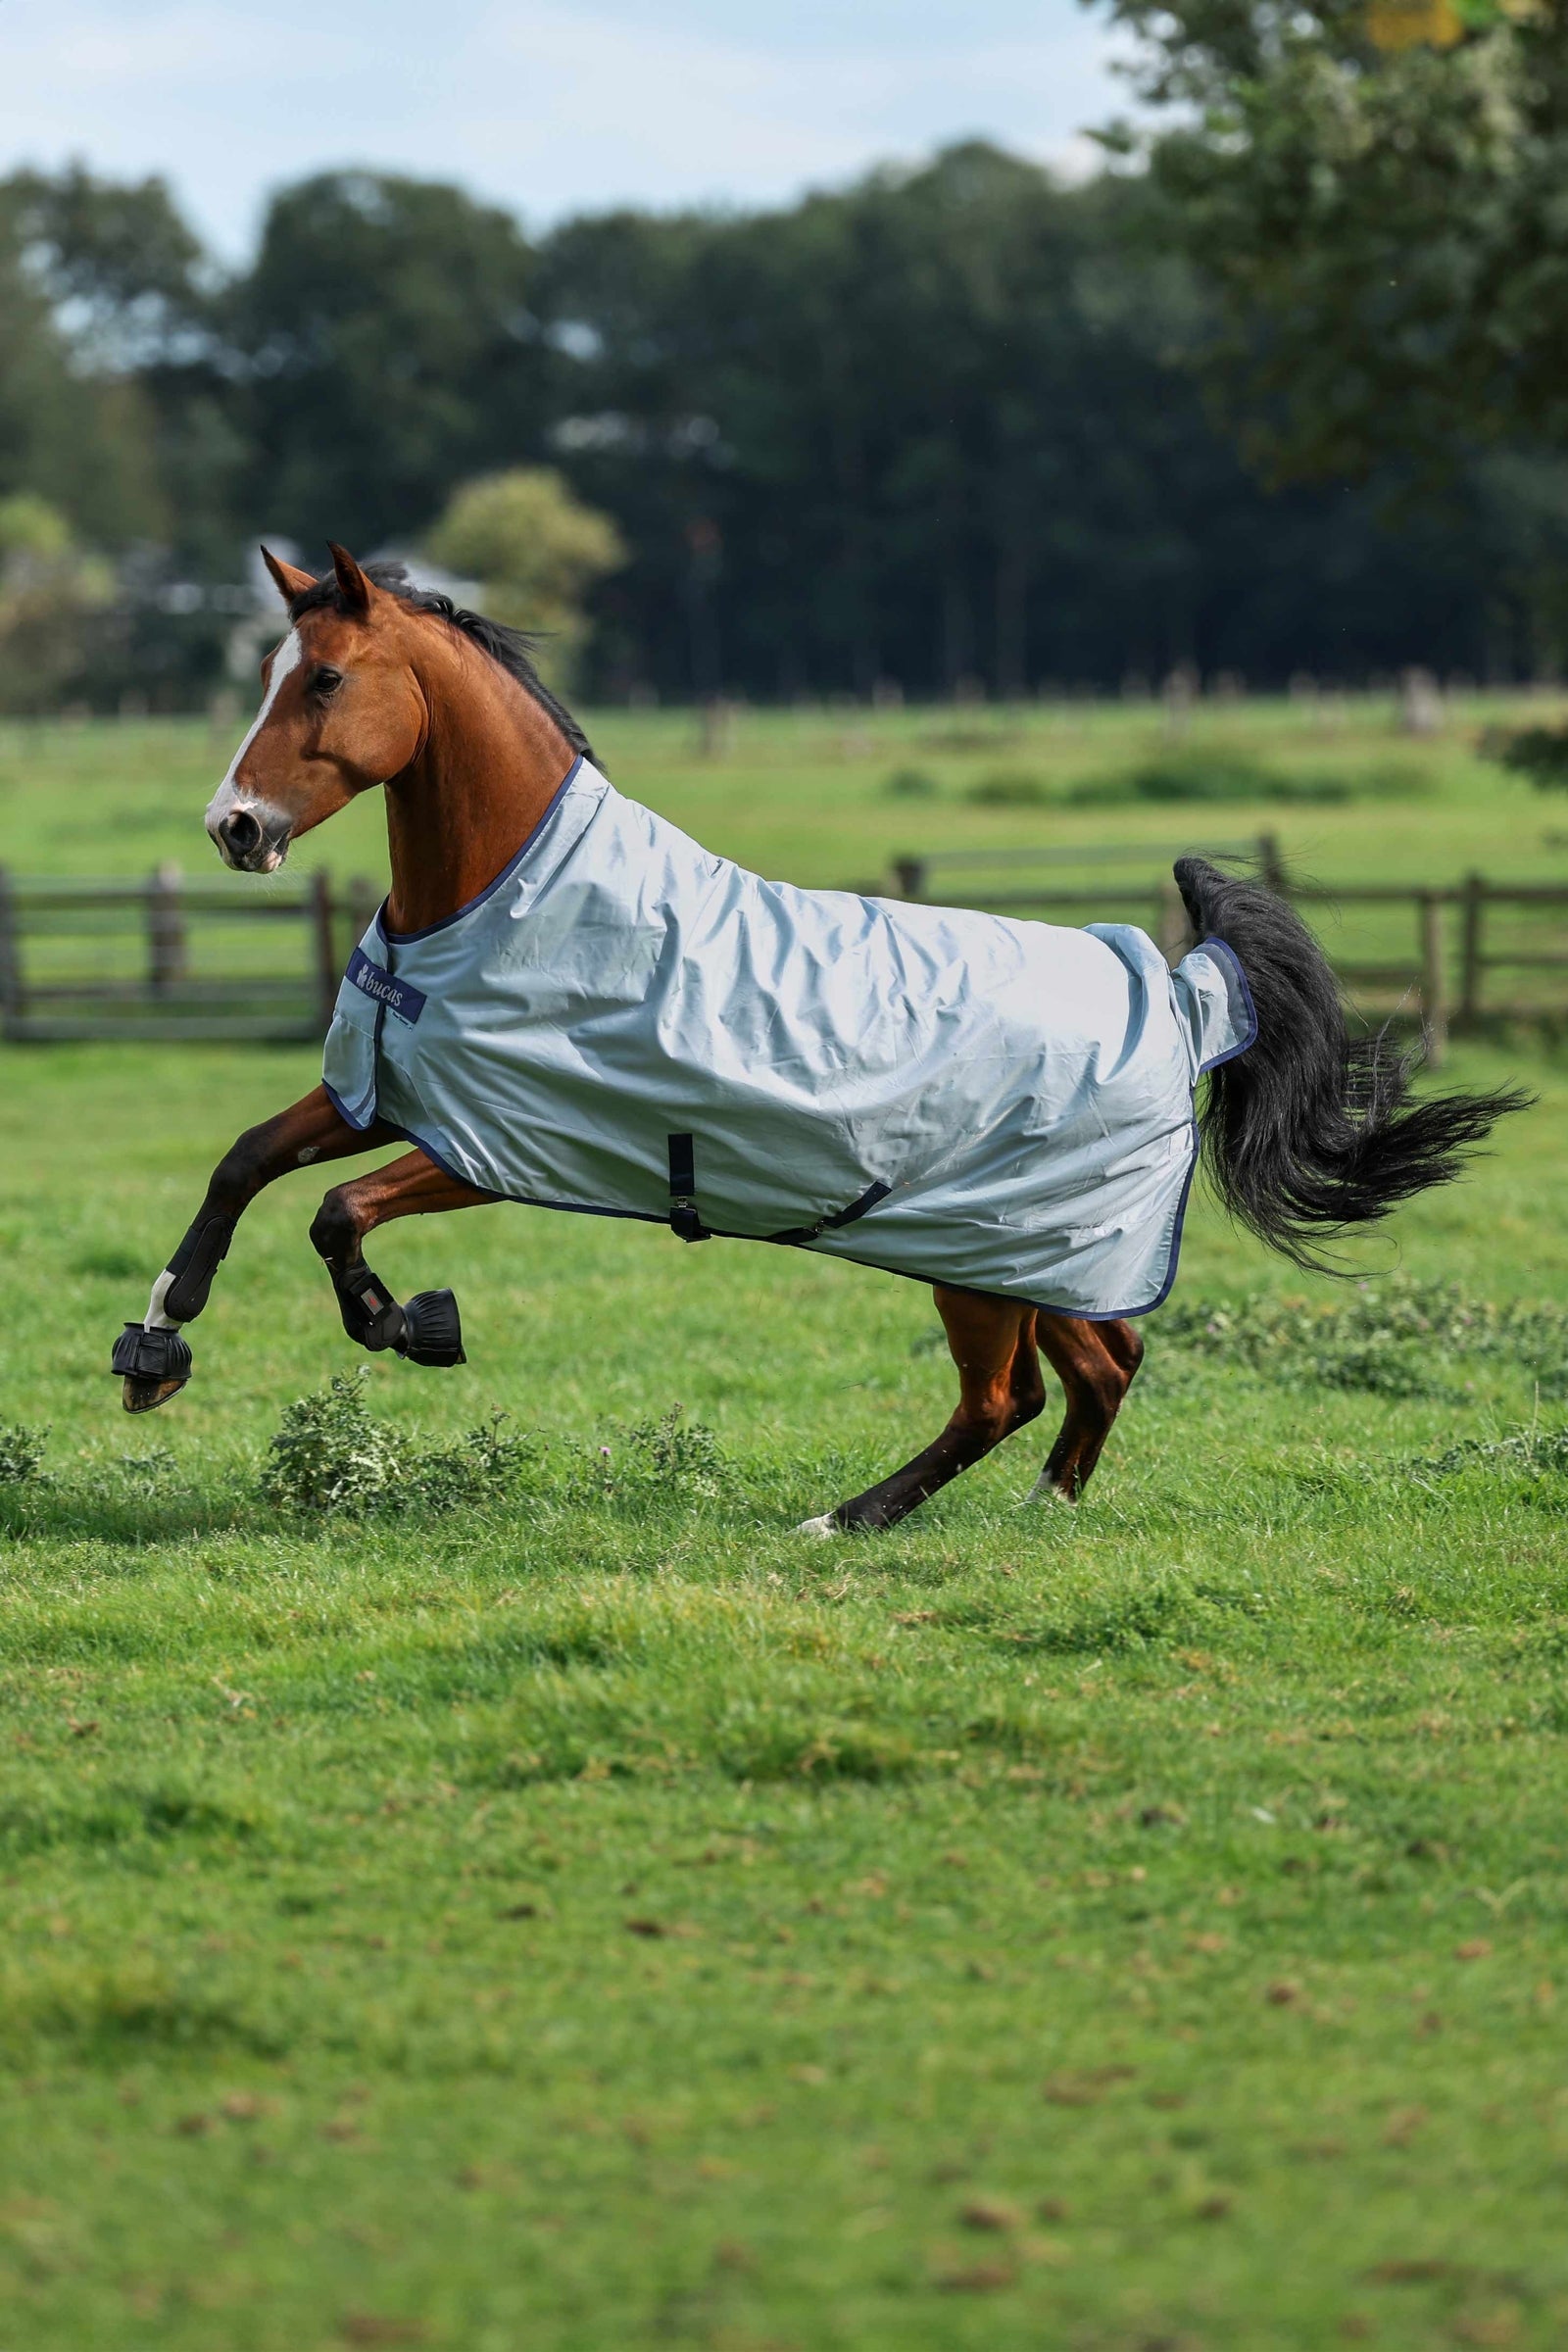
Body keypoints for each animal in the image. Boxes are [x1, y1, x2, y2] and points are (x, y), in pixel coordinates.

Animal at [111, 545, 1525, 1532]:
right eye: (264, 677)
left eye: (325, 679)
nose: (234, 826)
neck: (495, 899)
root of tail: (1178, 996)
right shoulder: (386, 1091)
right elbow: (245, 1163)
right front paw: (154, 1349)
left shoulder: (497, 1147)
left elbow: (336, 1214)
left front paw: (411, 1323)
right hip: (1025, 1253)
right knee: (1096, 1366)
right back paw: (1028, 1515)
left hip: (989, 1253)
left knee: (1013, 1394)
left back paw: (849, 1521)